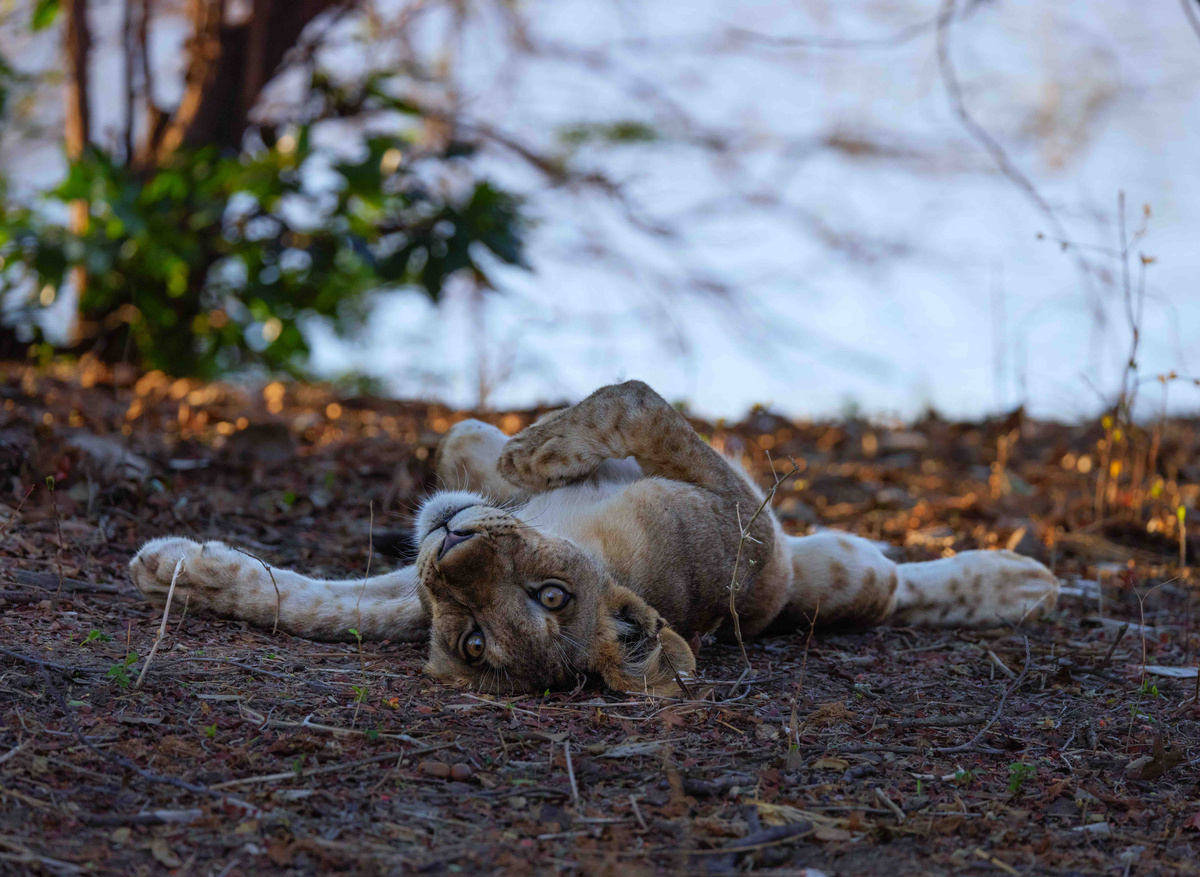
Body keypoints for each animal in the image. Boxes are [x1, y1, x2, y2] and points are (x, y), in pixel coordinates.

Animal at [131, 380, 1059, 694]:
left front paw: (532, 448)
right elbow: (316, 605)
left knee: (897, 584)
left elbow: (632, 401)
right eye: (473, 637)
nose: (450, 550)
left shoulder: (739, 516)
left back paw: (1026, 580)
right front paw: (179, 568)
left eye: (548, 597)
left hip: (816, 568)